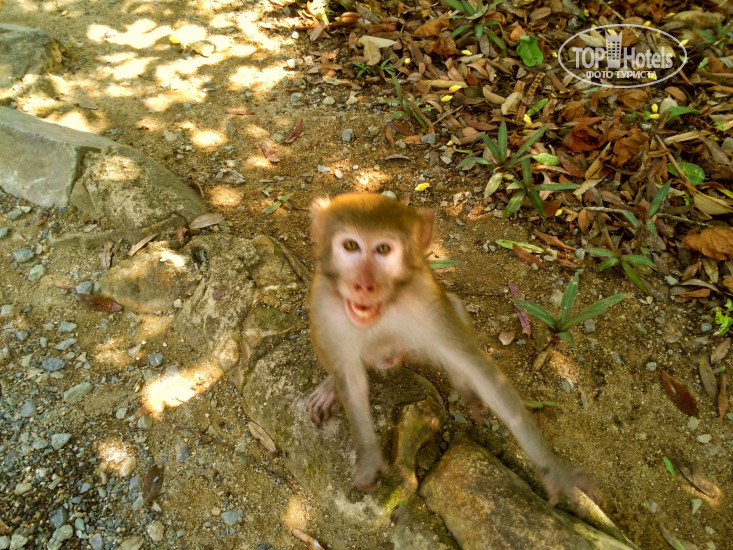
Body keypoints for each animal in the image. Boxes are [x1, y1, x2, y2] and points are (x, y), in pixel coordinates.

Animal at [307, 192, 592, 503]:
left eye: (383, 249)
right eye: (350, 246)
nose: (363, 284)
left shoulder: (427, 304)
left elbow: (477, 368)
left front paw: (555, 471)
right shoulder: (324, 306)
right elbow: (350, 377)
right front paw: (369, 458)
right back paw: (330, 387)